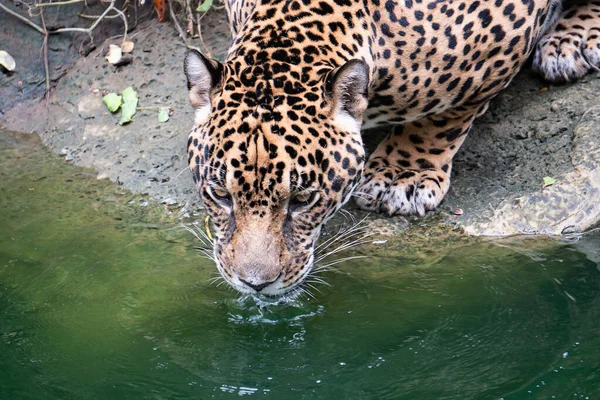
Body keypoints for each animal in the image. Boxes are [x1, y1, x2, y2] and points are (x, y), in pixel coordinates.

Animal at [183, 0, 600, 296]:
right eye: (220, 195)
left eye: (302, 201)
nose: (254, 283)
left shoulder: (499, 46)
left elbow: (442, 119)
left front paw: (401, 176)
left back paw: (570, 42)